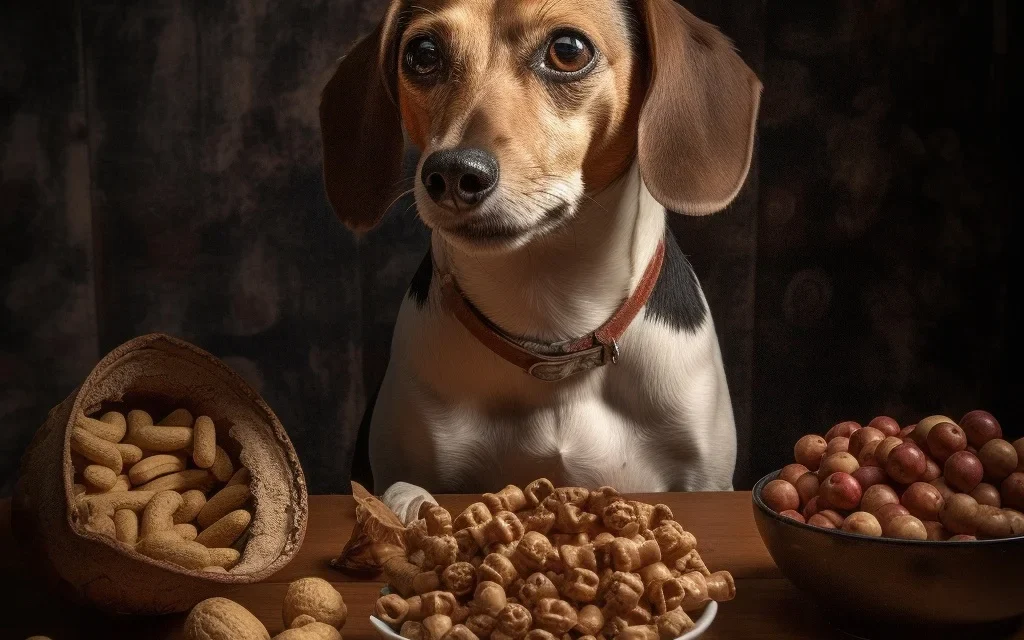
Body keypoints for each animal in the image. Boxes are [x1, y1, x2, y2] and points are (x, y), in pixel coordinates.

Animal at [319, 0, 761, 514]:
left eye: (568, 50)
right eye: (423, 54)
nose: (452, 173)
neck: (552, 324)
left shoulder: (705, 480)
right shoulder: (405, 465)